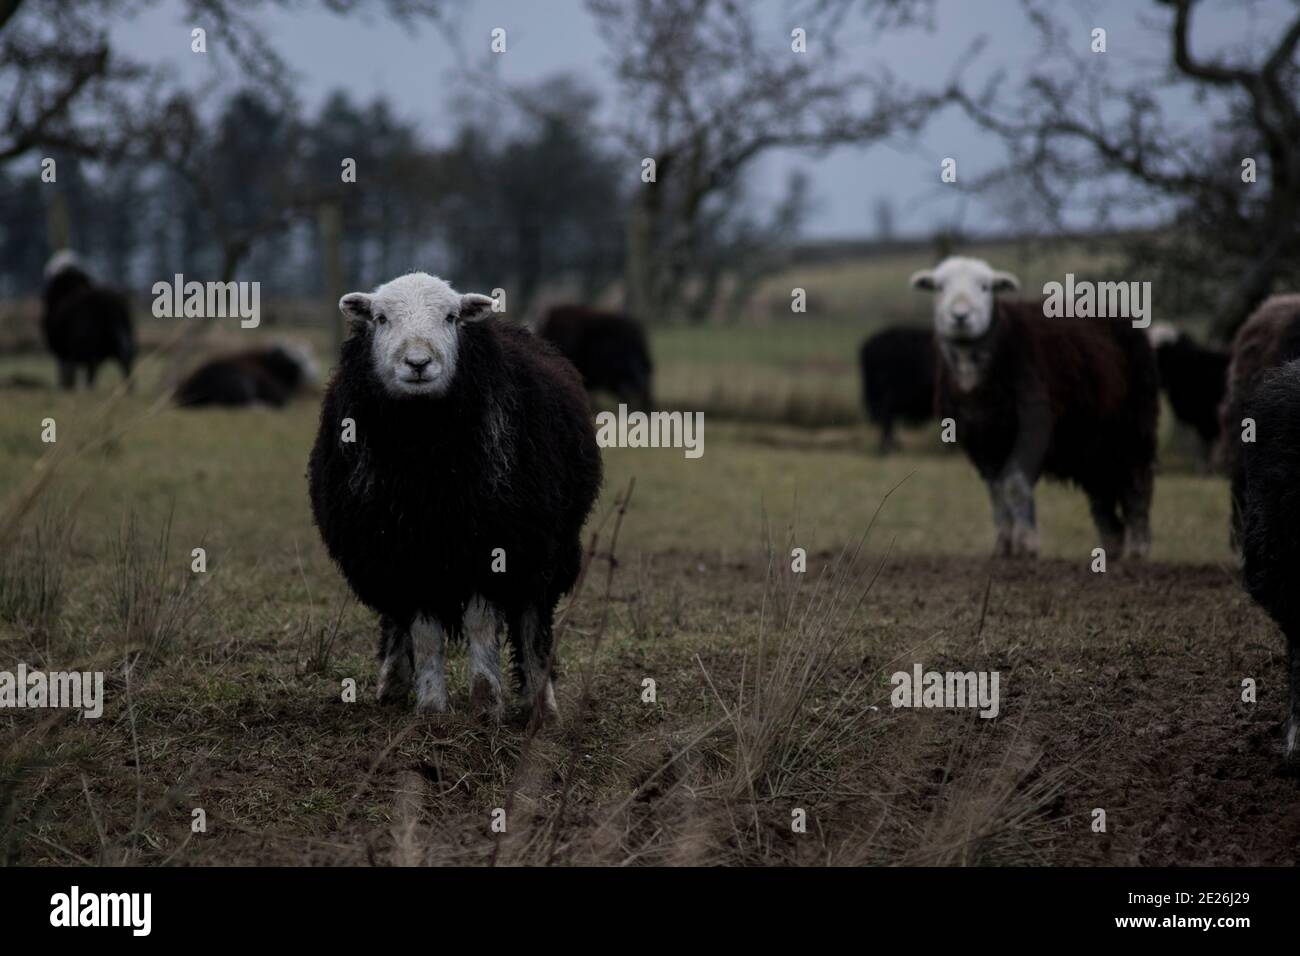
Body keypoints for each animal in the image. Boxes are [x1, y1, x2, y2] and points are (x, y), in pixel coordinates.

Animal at [306, 273, 600, 723]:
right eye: (380, 318)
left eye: (450, 317)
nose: (418, 363)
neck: (426, 460)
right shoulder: (404, 553)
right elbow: (424, 633)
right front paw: (431, 707)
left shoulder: (492, 545)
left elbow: (481, 624)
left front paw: (485, 703)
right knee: (395, 619)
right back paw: (393, 682)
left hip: (544, 549)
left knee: (532, 623)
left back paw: (542, 707)